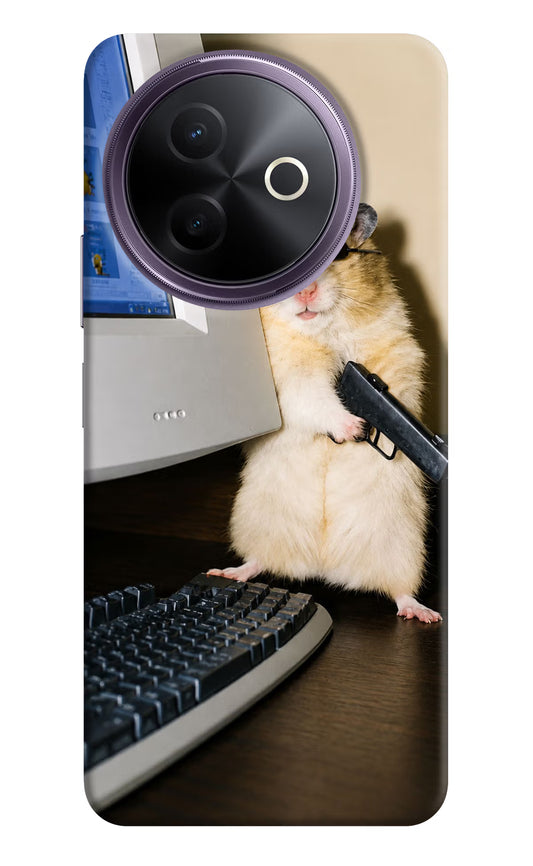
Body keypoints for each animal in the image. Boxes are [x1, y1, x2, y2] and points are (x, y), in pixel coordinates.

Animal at [208, 203, 442, 623]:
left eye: (342, 254)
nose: (306, 291)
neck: (324, 331)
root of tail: (325, 567)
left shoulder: (398, 353)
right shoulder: (289, 380)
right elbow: (315, 399)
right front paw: (355, 427)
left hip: (404, 546)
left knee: (400, 590)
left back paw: (423, 613)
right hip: (256, 523)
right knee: (258, 561)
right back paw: (227, 572)